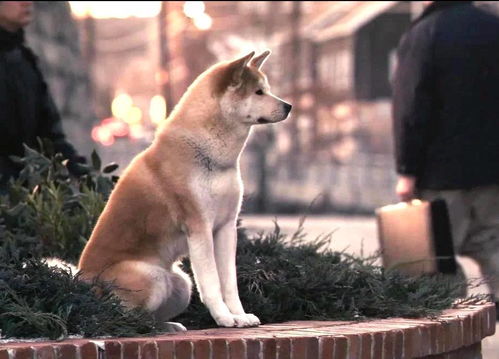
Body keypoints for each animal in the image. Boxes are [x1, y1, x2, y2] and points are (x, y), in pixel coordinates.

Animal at [77, 50, 292, 332]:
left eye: (267, 89)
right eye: (258, 92)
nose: (289, 106)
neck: (209, 155)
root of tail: (80, 282)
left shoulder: (226, 227)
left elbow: (230, 283)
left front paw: (240, 315)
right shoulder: (199, 227)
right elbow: (212, 283)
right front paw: (224, 319)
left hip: (181, 284)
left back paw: (168, 327)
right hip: (151, 278)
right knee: (124, 317)